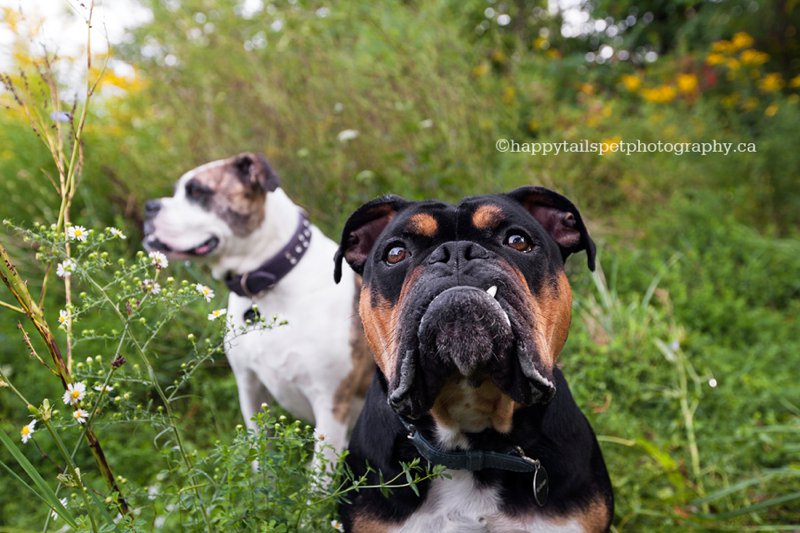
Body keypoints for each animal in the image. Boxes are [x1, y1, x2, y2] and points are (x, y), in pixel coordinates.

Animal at [142, 152, 374, 460]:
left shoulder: (331, 405)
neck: (268, 284)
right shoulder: (250, 389)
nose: (149, 206)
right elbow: (260, 457)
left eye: (198, 192)